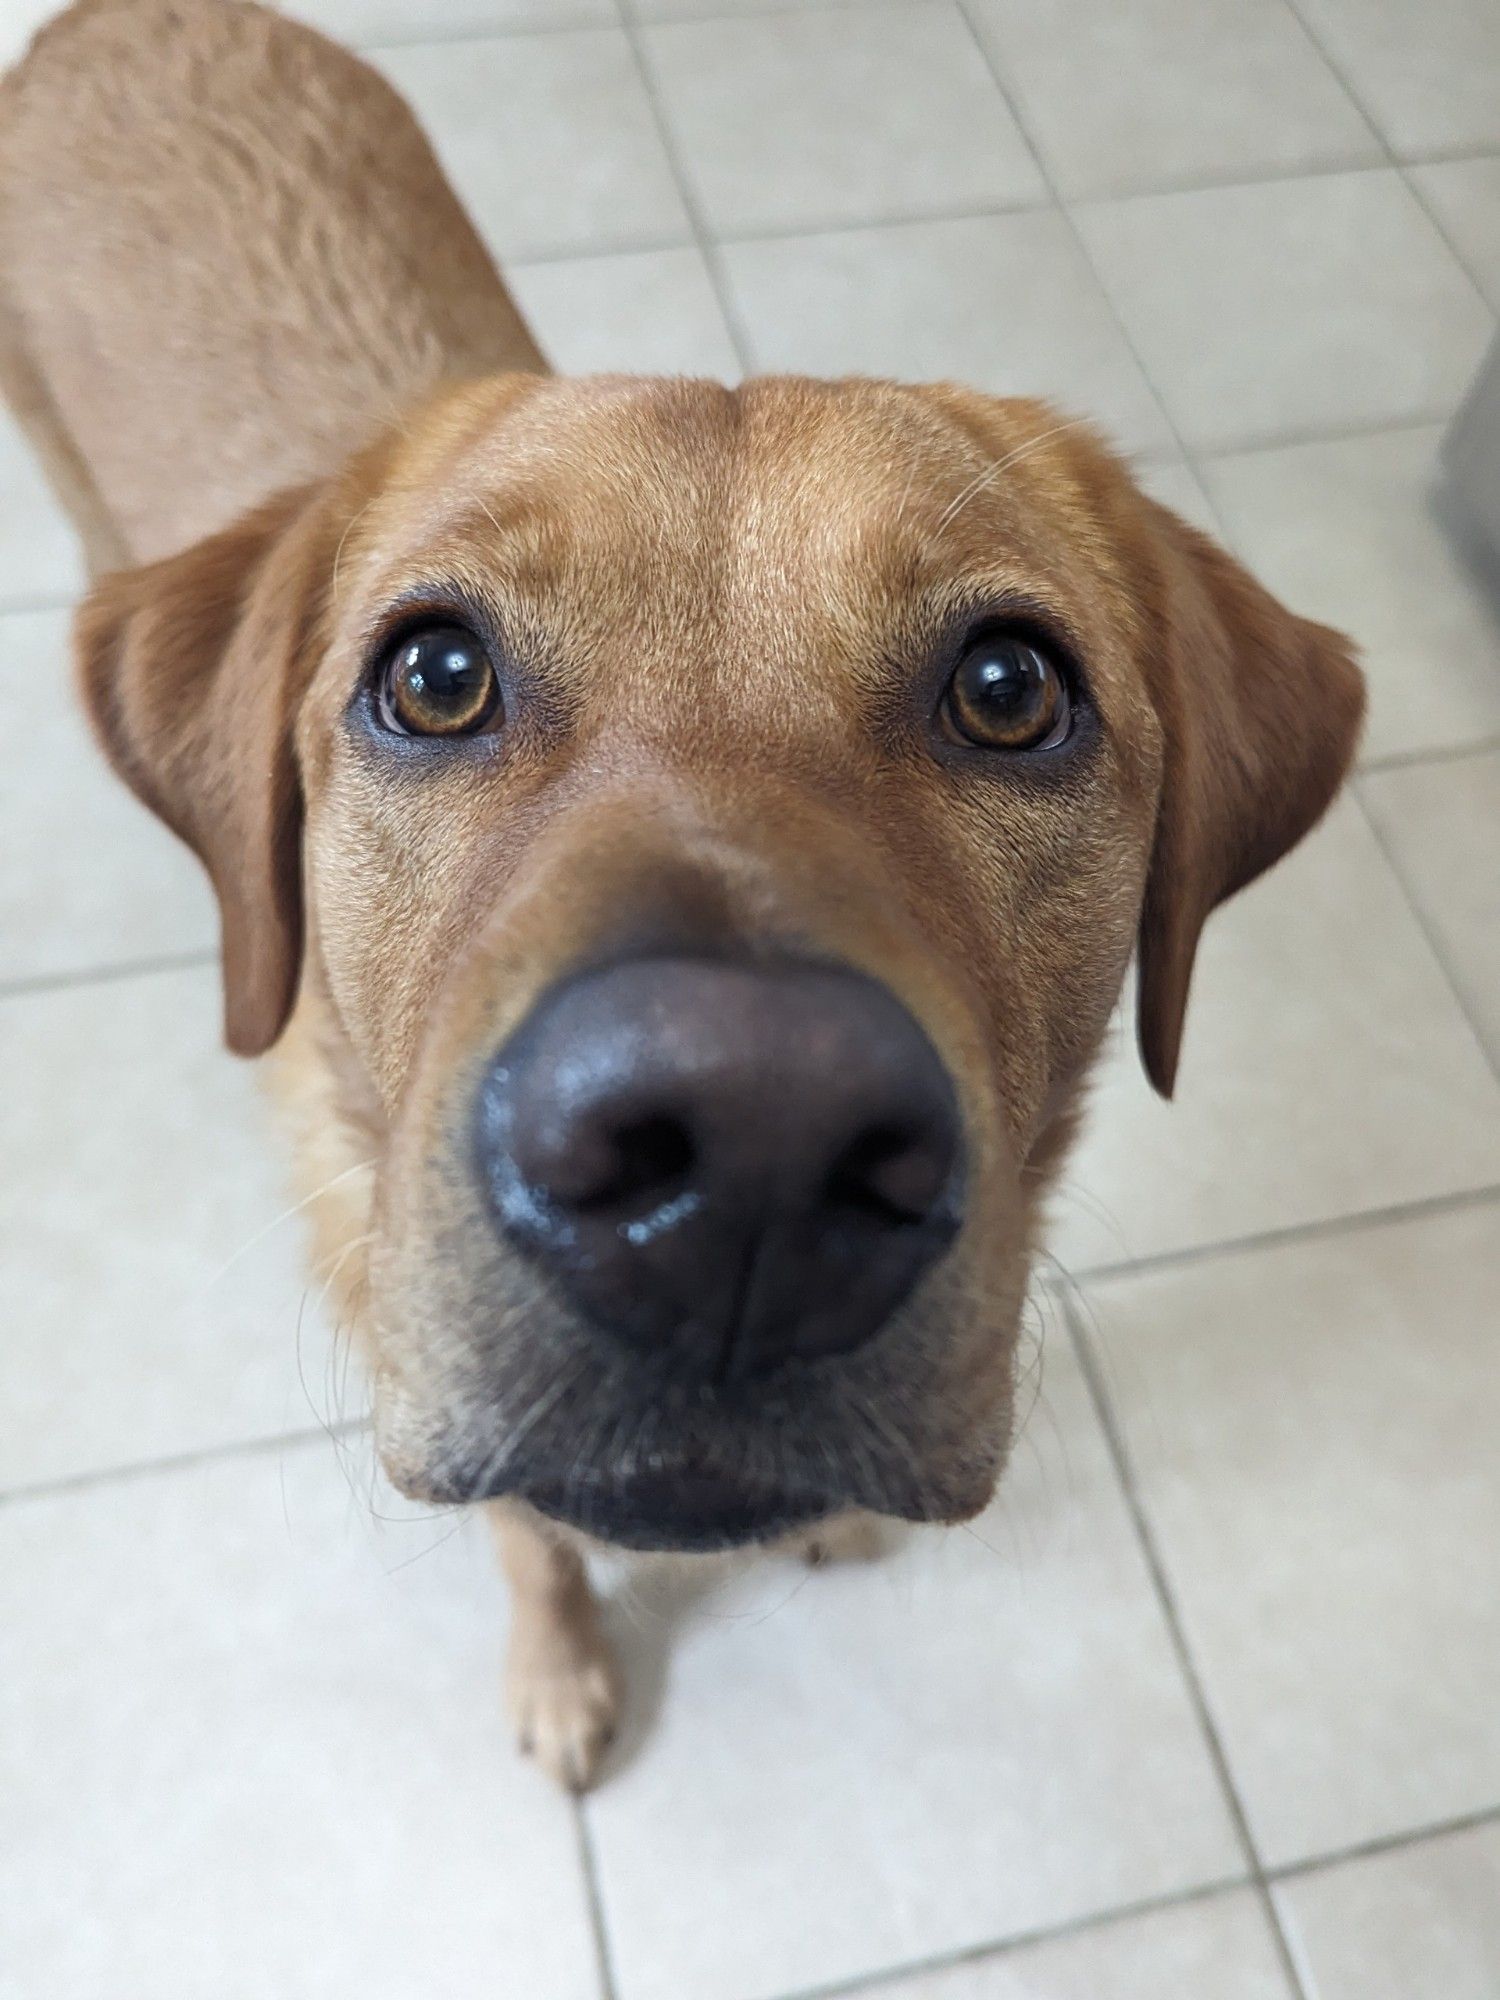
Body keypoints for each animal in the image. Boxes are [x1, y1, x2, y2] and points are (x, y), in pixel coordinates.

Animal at [0, 0, 1360, 1792]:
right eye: (434, 675)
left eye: (1009, 688)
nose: (749, 1159)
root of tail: (124, 19)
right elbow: (530, 1541)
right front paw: (562, 1670)